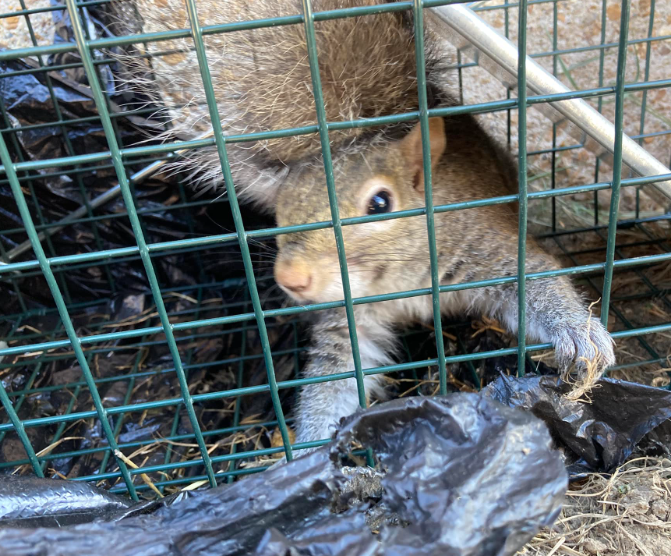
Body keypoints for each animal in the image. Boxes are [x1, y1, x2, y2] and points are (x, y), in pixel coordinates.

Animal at [125, 0, 615, 451]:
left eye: (381, 203)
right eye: (279, 209)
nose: (291, 279)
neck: (398, 281)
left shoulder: (485, 250)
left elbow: (536, 280)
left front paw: (582, 337)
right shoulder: (348, 319)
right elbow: (336, 375)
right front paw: (312, 451)